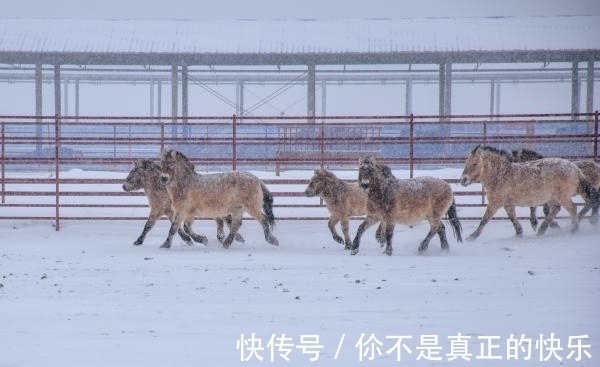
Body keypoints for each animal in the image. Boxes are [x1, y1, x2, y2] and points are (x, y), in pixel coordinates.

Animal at [460, 144, 596, 242]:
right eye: (466, 163)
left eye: (475, 163)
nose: (463, 180)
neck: (501, 175)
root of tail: (575, 169)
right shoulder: (507, 204)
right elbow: (512, 217)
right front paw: (519, 233)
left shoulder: (495, 203)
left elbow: (484, 219)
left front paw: (472, 237)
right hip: (552, 198)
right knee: (556, 209)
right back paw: (542, 230)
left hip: (562, 197)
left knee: (572, 208)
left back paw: (573, 230)